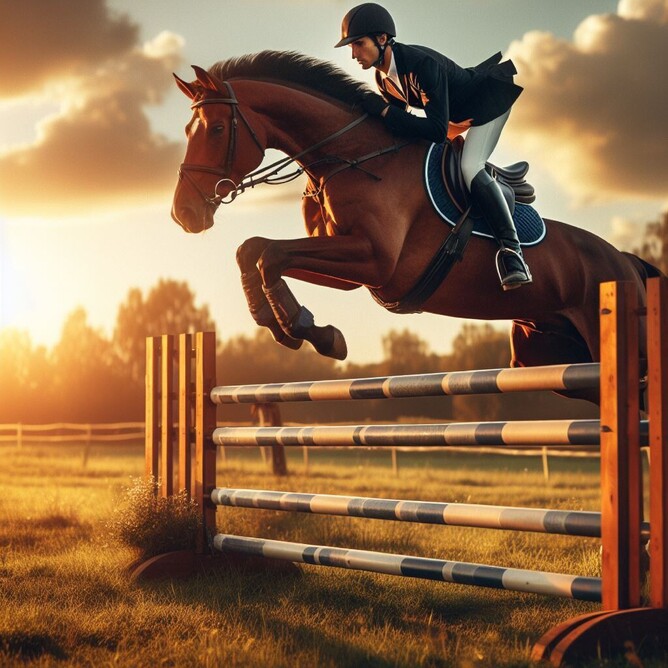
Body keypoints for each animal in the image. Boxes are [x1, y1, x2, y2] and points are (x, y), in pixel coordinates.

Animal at [171, 51, 660, 401]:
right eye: (188, 130)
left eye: (216, 130)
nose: (184, 215)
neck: (351, 155)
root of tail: (628, 263)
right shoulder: (352, 268)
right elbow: (253, 250)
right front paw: (288, 327)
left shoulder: (374, 260)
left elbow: (268, 252)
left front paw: (310, 331)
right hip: (545, 356)